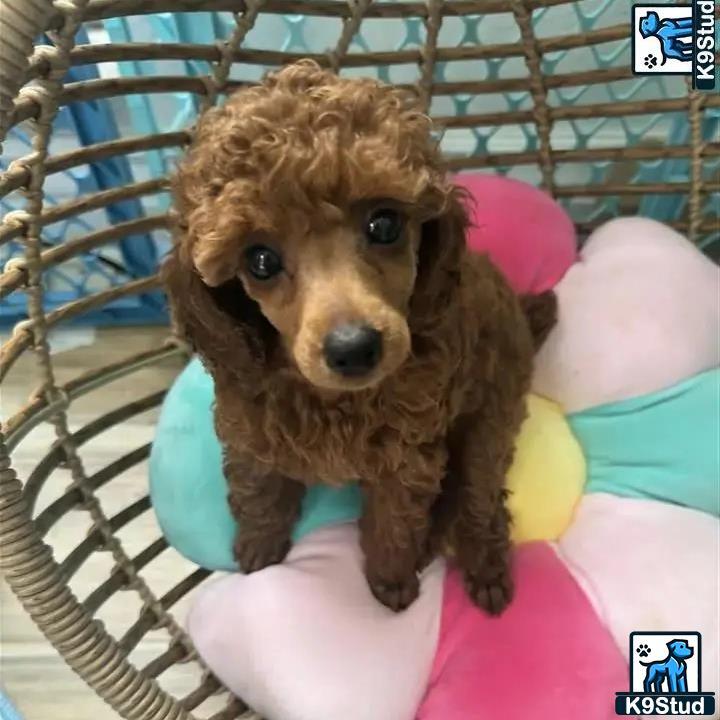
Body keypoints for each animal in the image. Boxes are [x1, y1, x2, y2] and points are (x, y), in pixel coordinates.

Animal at [163, 62, 556, 612]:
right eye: (259, 260)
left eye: (385, 224)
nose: (353, 349)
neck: (335, 401)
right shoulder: (251, 425)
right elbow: (258, 488)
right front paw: (259, 548)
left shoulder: (405, 459)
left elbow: (393, 522)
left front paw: (391, 581)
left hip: (493, 413)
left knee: (480, 492)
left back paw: (484, 566)